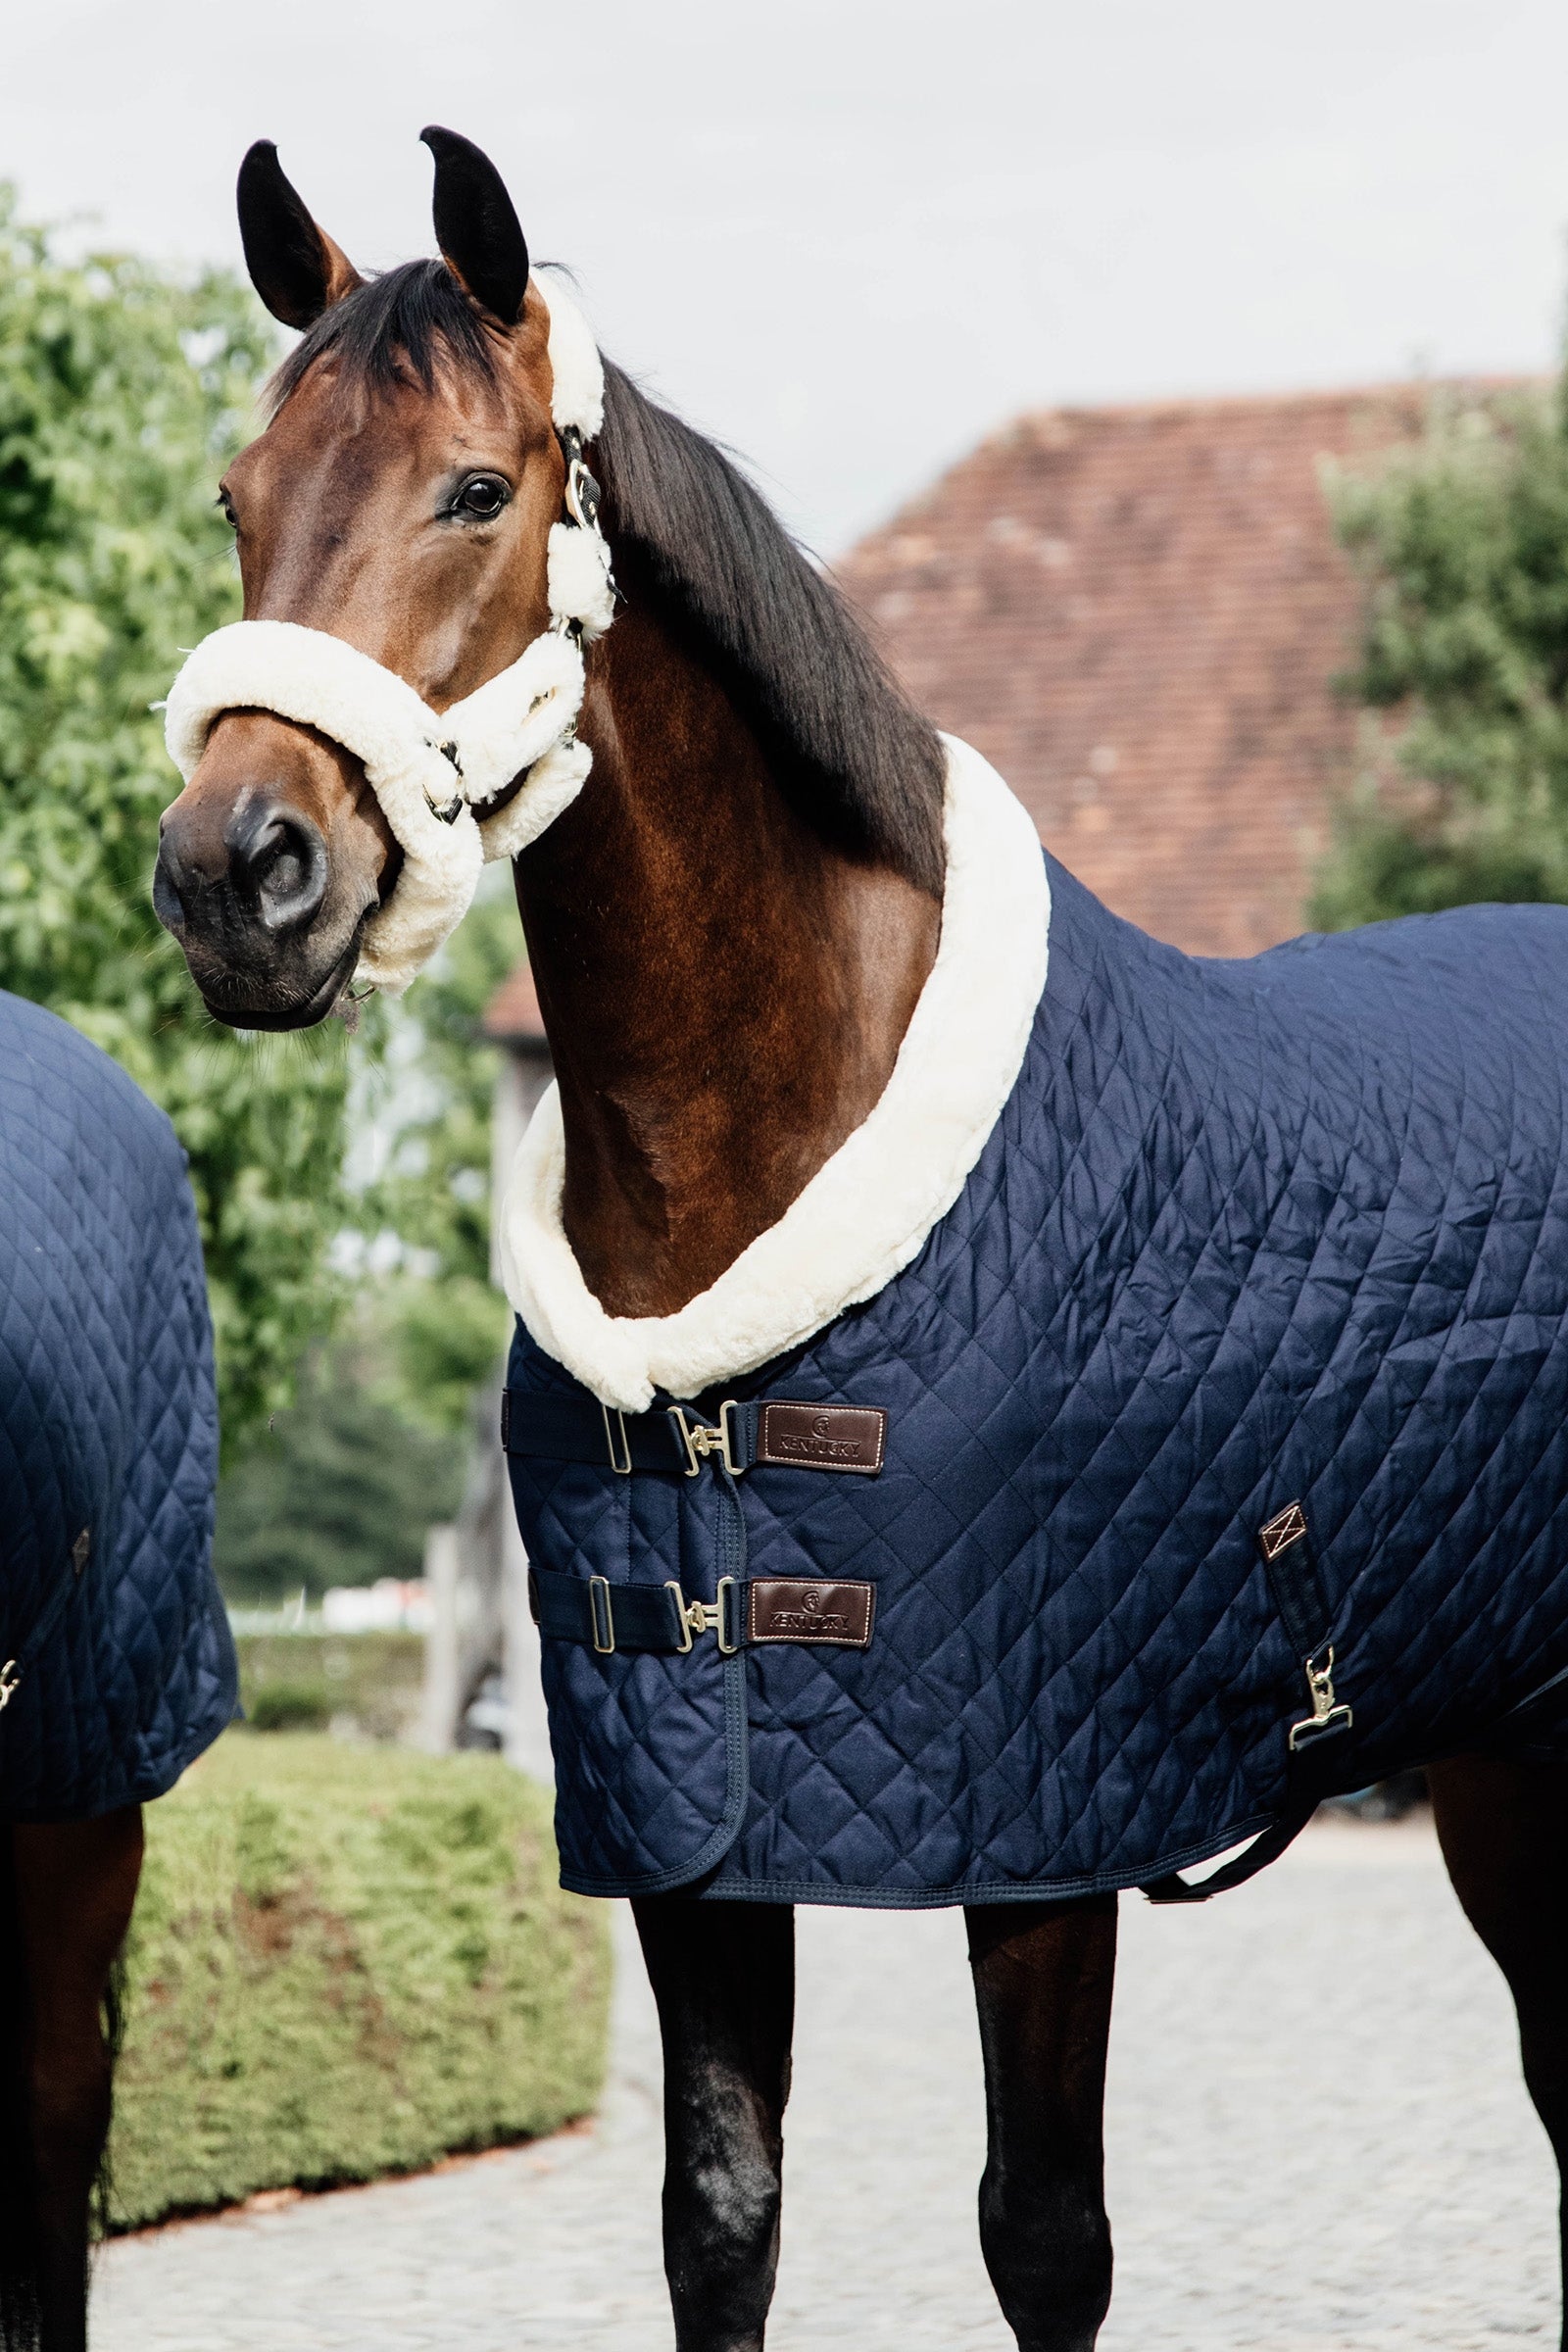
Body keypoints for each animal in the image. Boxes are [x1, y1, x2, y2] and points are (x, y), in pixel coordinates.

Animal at [153, 127, 1568, 2351]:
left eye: (474, 489)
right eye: (235, 493)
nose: (236, 874)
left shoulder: (1039, 1832)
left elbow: (1042, 2233)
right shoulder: (689, 1830)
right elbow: (721, 2214)